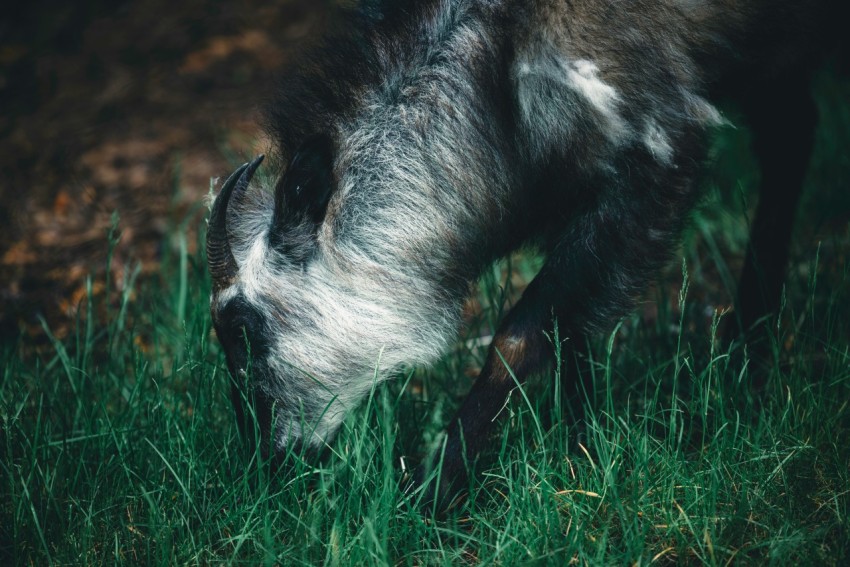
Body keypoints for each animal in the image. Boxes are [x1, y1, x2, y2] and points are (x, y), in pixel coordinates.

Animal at [204, 0, 836, 510]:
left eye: (242, 327)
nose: (264, 467)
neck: (495, 72)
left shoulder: (659, 158)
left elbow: (523, 332)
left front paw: (431, 494)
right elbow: (574, 330)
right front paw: (589, 442)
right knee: (794, 130)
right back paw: (750, 342)